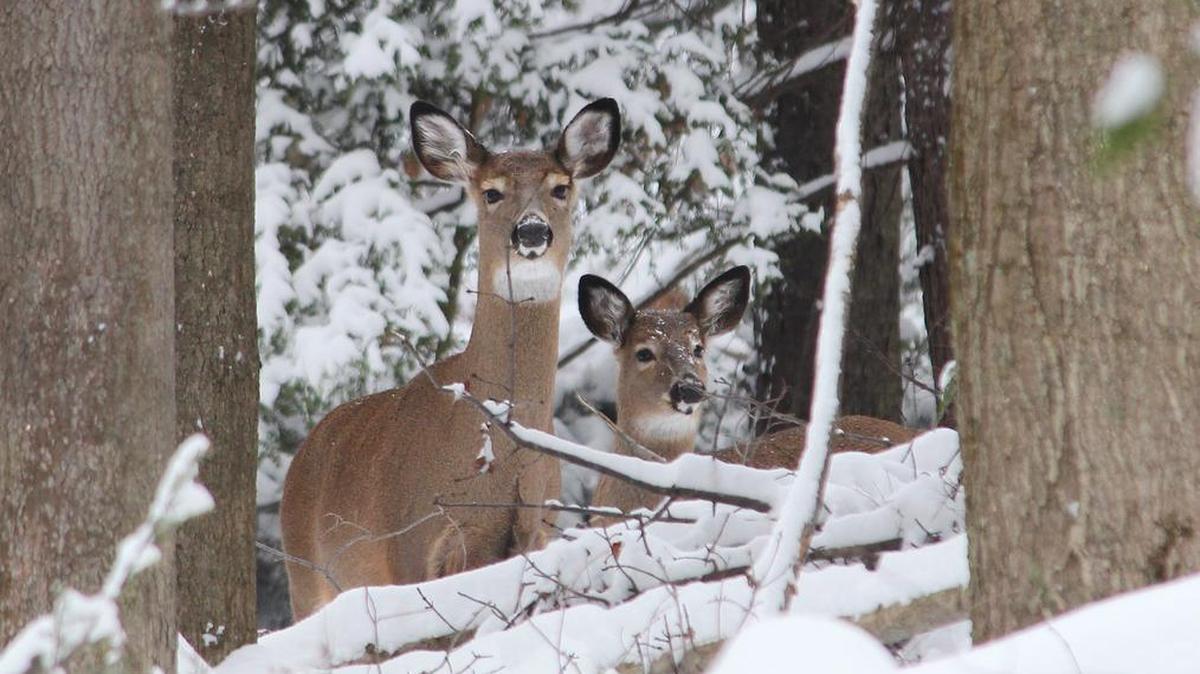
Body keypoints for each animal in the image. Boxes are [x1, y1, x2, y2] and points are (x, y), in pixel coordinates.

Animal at [280, 98, 621, 620]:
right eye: (491, 192)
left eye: (561, 188)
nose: (532, 231)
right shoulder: (410, 545)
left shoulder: (534, 534)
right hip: (307, 579)